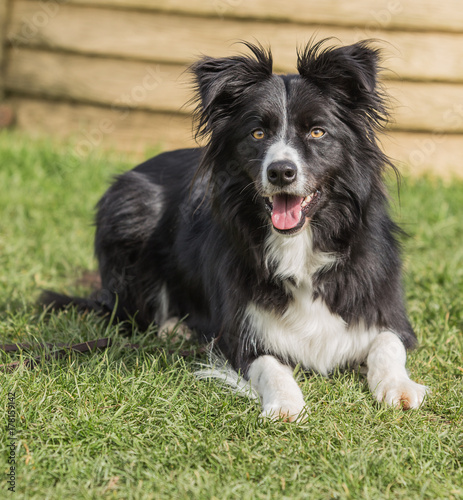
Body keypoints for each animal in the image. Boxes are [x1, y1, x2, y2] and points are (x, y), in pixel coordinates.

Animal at [46, 41, 428, 420]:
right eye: (257, 133)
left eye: (317, 131)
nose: (281, 172)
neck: (299, 245)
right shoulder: (237, 330)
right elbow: (268, 363)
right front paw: (285, 403)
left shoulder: (382, 304)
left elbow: (388, 343)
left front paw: (400, 387)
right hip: (132, 205)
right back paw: (175, 327)